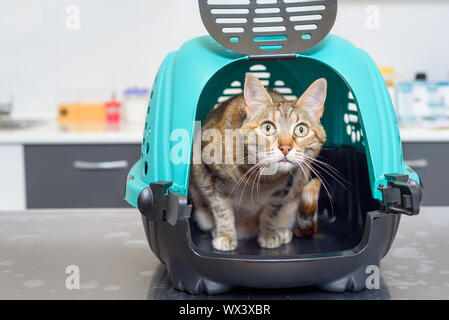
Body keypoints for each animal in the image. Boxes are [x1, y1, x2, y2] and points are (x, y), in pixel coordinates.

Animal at [188, 74, 326, 251]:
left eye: (301, 130)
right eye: (268, 128)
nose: (285, 147)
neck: (261, 178)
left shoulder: (282, 189)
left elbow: (270, 212)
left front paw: (268, 233)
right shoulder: (210, 175)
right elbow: (222, 210)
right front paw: (226, 235)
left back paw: (281, 230)